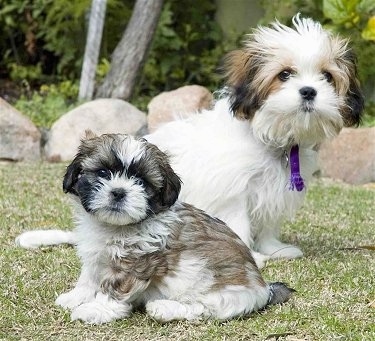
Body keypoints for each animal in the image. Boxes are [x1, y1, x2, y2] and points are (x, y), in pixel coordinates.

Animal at [15, 15, 364, 266]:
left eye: (327, 77)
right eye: (285, 75)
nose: (309, 91)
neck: (270, 136)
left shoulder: (274, 190)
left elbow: (266, 223)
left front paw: (273, 248)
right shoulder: (232, 190)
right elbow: (239, 221)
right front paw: (254, 255)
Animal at [54, 131, 296, 322]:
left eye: (141, 182)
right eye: (103, 173)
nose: (118, 192)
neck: (116, 227)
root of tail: (263, 289)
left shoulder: (136, 262)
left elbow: (114, 288)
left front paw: (97, 309)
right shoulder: (97, 255)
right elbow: (89, 276)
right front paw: (76, 296)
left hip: (221, 293)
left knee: (202, 309)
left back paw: (164, 308)